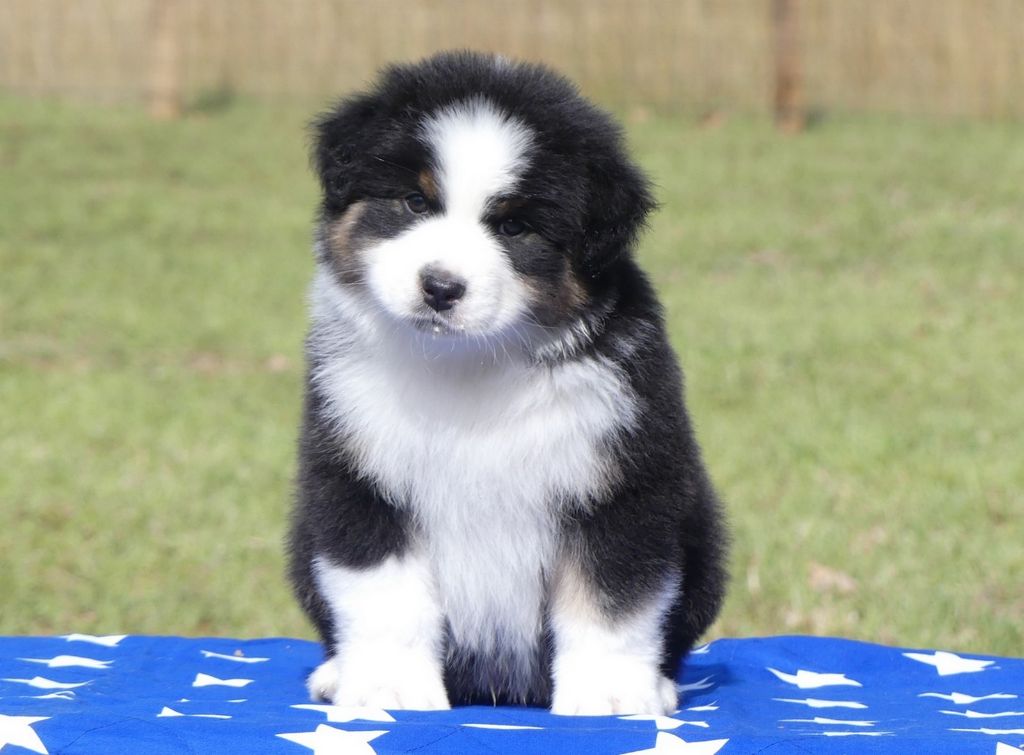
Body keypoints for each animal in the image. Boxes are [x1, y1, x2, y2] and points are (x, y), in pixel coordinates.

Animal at [287, 51, 727, 716]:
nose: (441, 288)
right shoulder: (359, 475)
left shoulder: (623, 483)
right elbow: (386, 597)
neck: (470, 364)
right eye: (414, 203)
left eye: (515, 228)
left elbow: (612, 600)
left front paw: (611, 697)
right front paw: (389, 689)